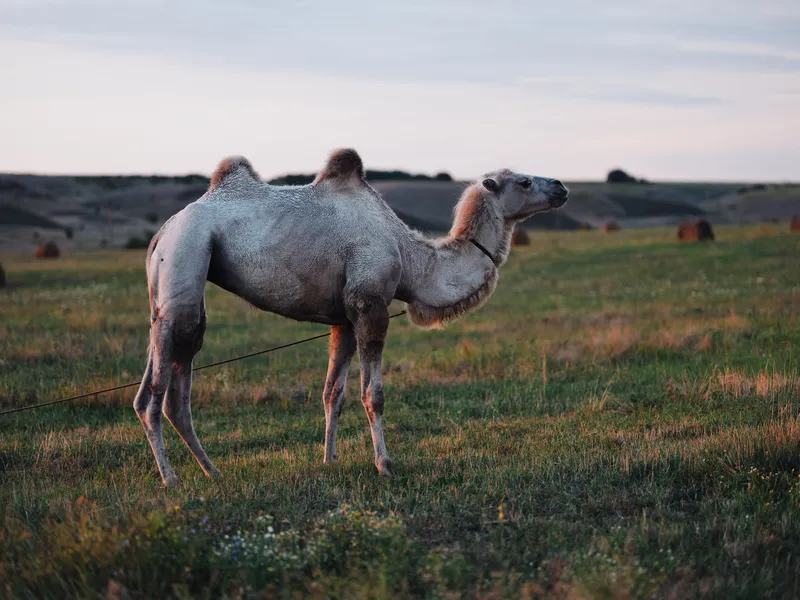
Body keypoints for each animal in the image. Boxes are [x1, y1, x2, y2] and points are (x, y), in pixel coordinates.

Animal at [134, 148, 568, 486]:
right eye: (524, 182)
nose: (562, 187)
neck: (412, 260)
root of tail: (163, 231)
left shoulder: (343, 317)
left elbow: (333, 392)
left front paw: (330, 460)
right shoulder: (369, 304)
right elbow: (373, 394)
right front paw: (385, 464)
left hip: (175, 289)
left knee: (170, 386)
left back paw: (212, 471)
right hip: (186, 257)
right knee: (156, 393)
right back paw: (171, 478)